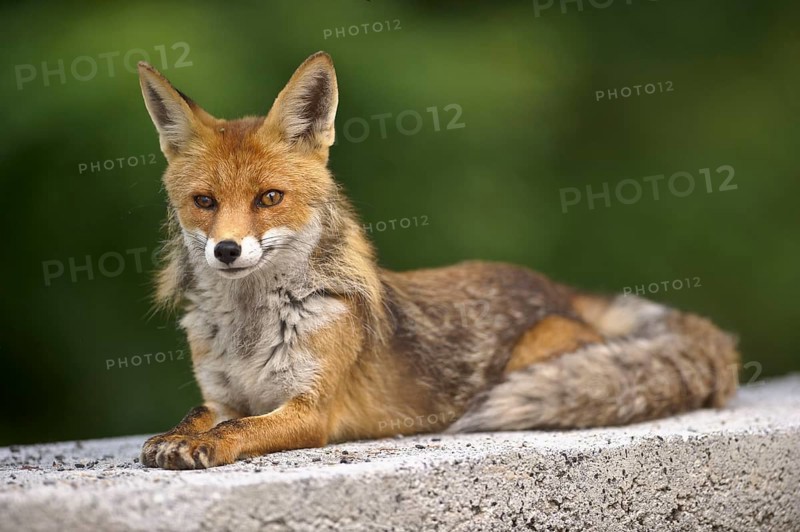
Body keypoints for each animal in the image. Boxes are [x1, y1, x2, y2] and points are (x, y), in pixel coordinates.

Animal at [137, 51, 740, 470]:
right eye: (205, 202)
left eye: (269, 198)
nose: (227, 250)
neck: (252, 327)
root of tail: (554, 285)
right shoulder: (223, 394)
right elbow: (199, 416)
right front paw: (175, 437)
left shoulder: (312, 410)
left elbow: (237, 431)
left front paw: (205, 446)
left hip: (538, 354)